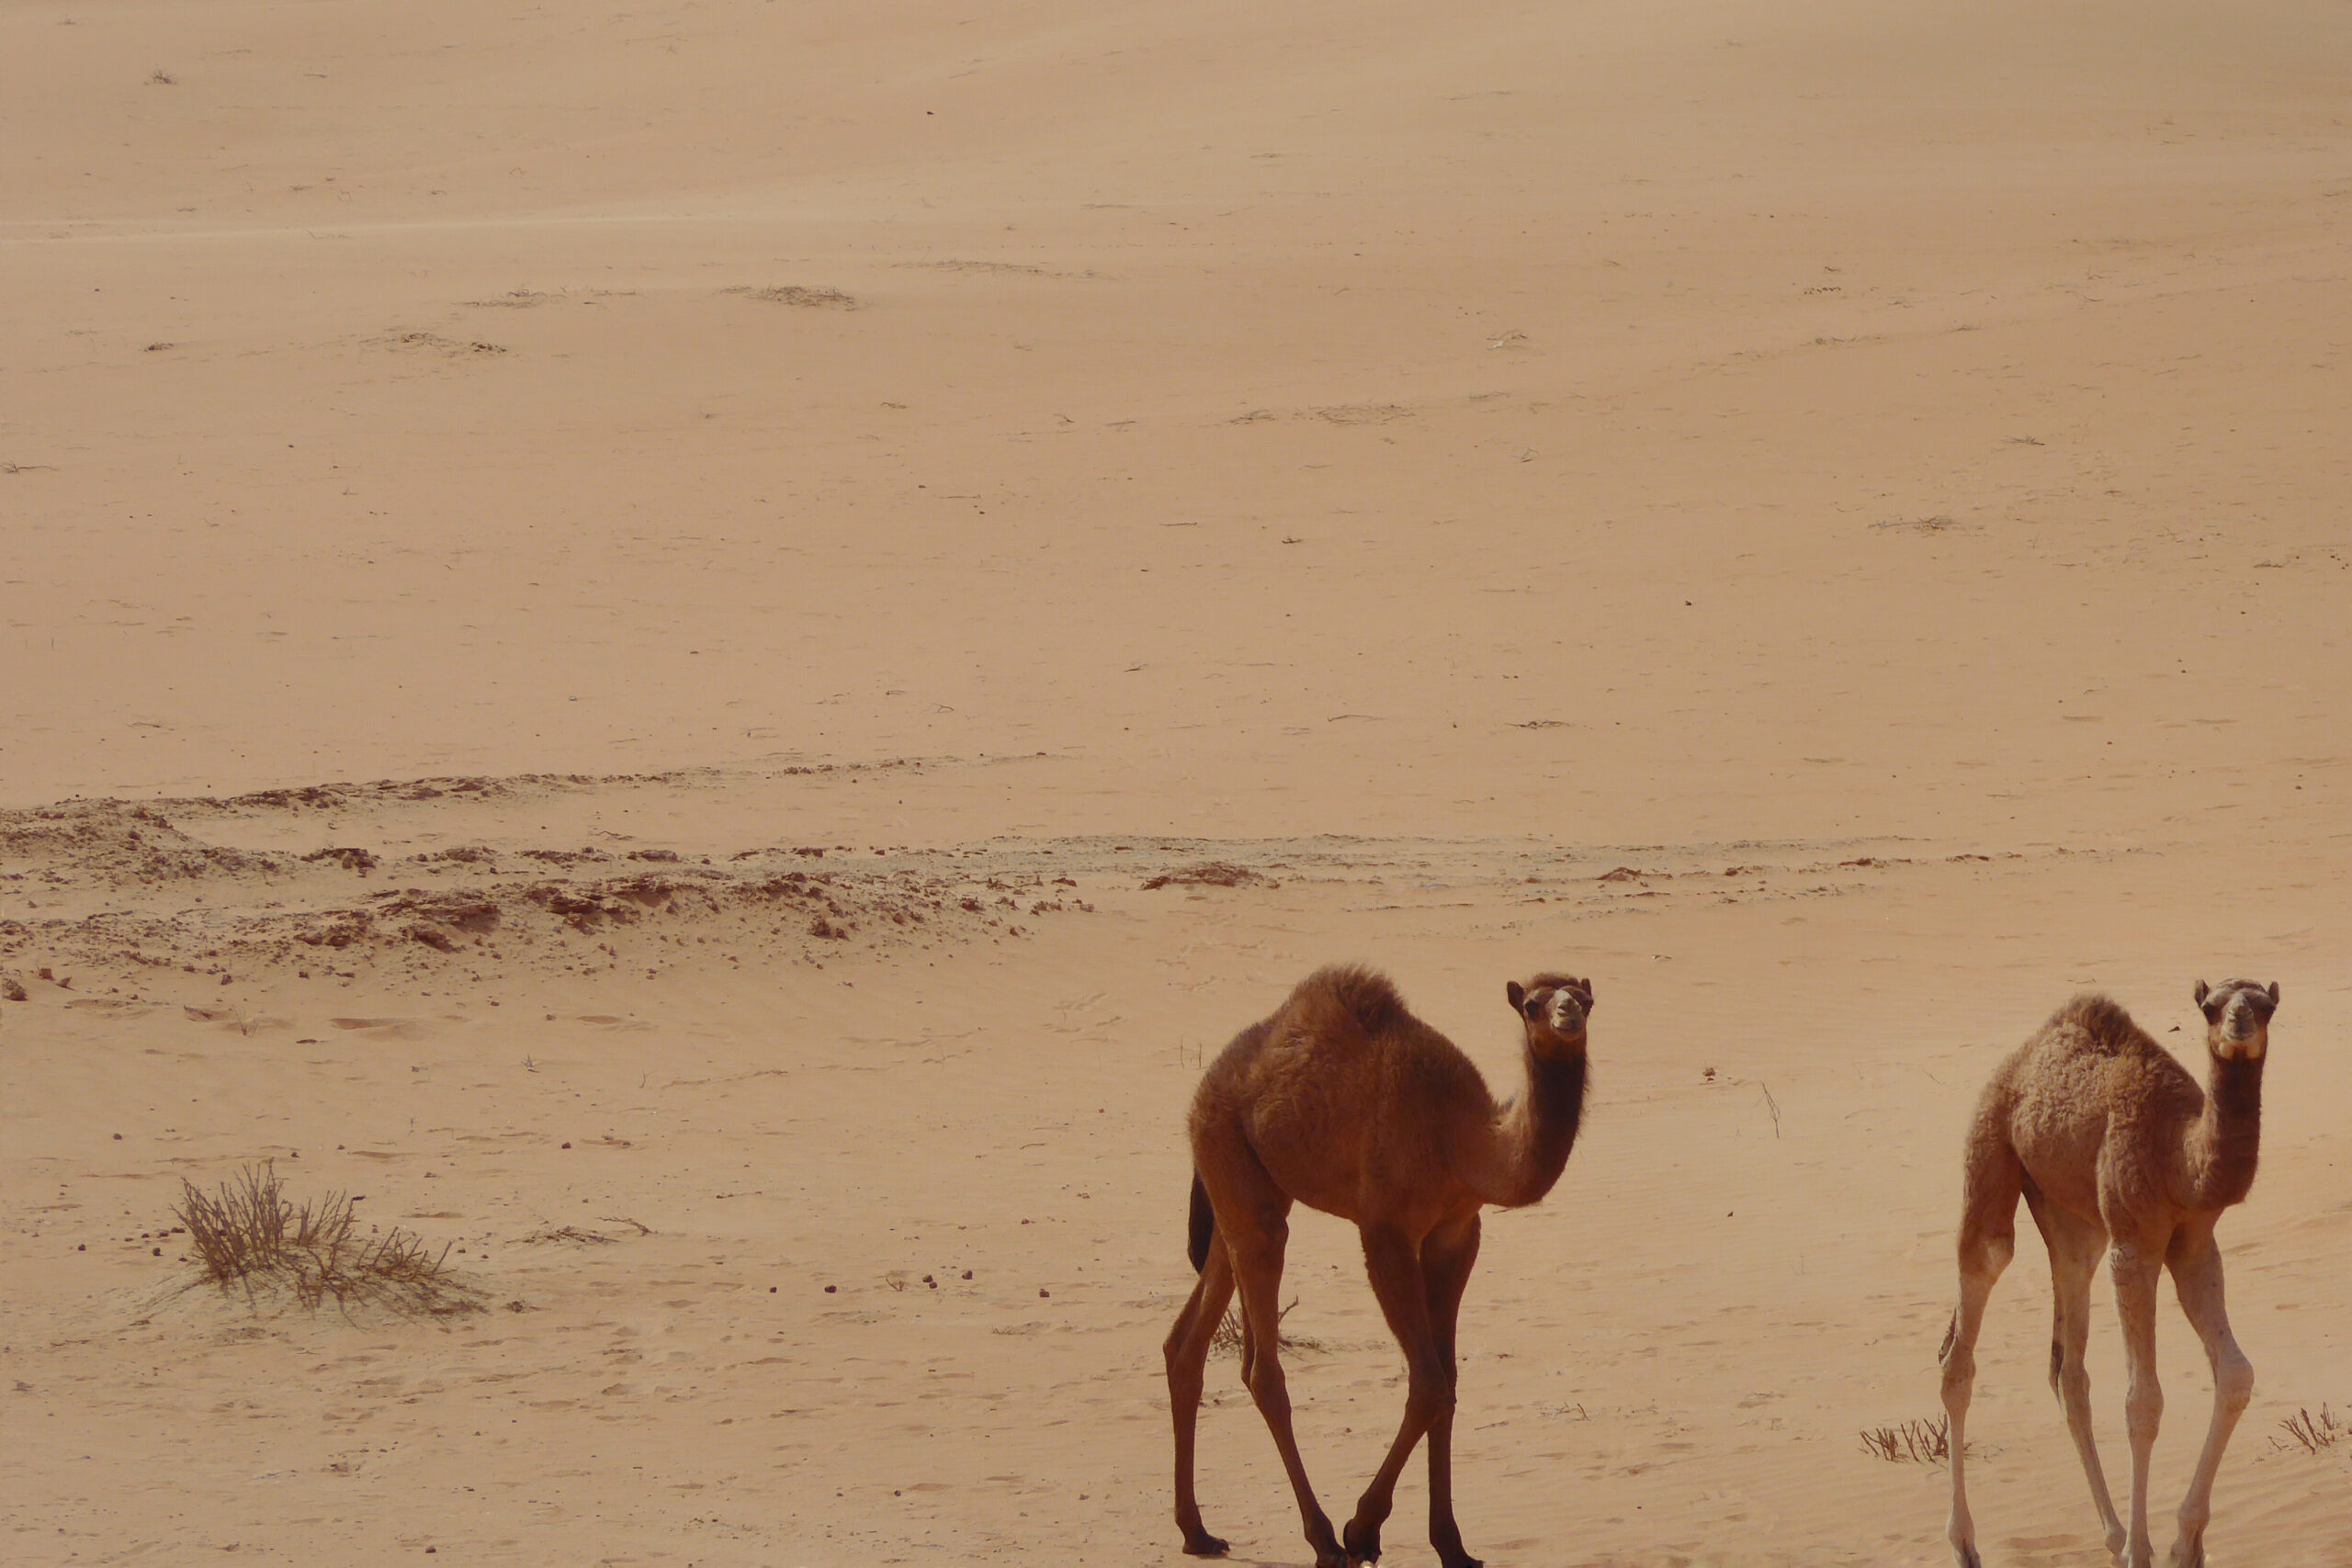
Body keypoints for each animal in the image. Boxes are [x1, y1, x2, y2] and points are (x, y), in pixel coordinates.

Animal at [1161, 968, 1599, 1568]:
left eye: (1585, 999)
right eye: (1532, 1004)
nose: (1568, 1017)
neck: (1459, 1140)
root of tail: (1207, 1087)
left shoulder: (1456, 1233)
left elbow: (1449, 1383)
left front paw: (1453, 1545)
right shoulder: (1386, 1231)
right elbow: (1430, 1384)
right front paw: (1362, 1530)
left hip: (1245, 1186)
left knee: (1188, 1338)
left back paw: (1197, 1532)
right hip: (1229, 1155)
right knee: (1262, 1368)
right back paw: (1322, 1539)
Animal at [1928, 982, 2277, 1568]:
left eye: (2265, 1003)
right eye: (2210, 1006)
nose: (2238, 1023)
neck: (2179, 1160)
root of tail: (2023, 1057)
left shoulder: (2194, 1245)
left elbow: (2236, 1374)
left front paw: (2186, 1543)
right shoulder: (2133, 1244)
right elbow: (2143, 1401)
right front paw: (2145, 1549)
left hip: (2074, 1224)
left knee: (2068, 1371)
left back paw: (2111, 1537)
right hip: (1990, 1149)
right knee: (1967, 1329)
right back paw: (1964, 1542)